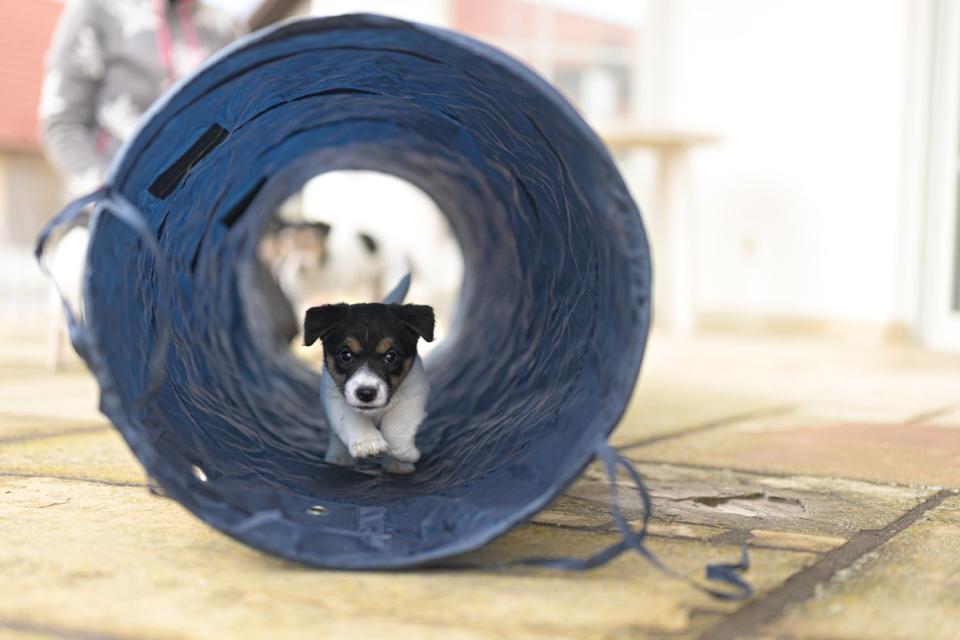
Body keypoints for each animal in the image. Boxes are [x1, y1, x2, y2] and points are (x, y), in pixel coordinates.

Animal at [304, 302, 436, 472]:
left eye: (391, 356)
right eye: (345, 355)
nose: (366, 393)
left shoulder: (414, 392)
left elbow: (396, 427)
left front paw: (406, 455)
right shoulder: (335, 397)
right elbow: (351, 418)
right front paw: (368, 443)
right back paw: (338, 457)